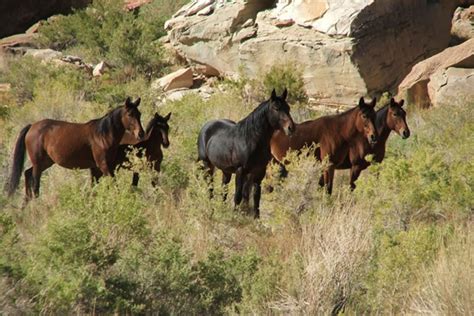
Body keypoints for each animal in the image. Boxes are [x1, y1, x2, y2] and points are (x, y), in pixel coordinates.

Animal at [5, 97, 144, 200]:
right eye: (130, 114)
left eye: (139, 114)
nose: (141, 133)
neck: (102, 135)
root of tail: (32, 126)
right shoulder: (103, 165)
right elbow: (113, 184)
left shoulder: (98, 167)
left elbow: (94, 187)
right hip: (38, 163)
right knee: (35, 185)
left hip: (46, 162)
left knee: (27, 173)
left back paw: (26, 204)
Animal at [195, 88, 292, 217]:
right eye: (276, 108)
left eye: (288, 108)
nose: (291, 128)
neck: (251, 140)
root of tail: (206, 126)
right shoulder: (240, 171)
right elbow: (238, 196)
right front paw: (235, 216)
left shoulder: (259, 172)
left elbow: (256, 197)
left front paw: (256, 218)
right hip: (207, 165)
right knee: (210, 187)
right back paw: (212, 210)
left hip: (226, 170)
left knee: (224, 189)